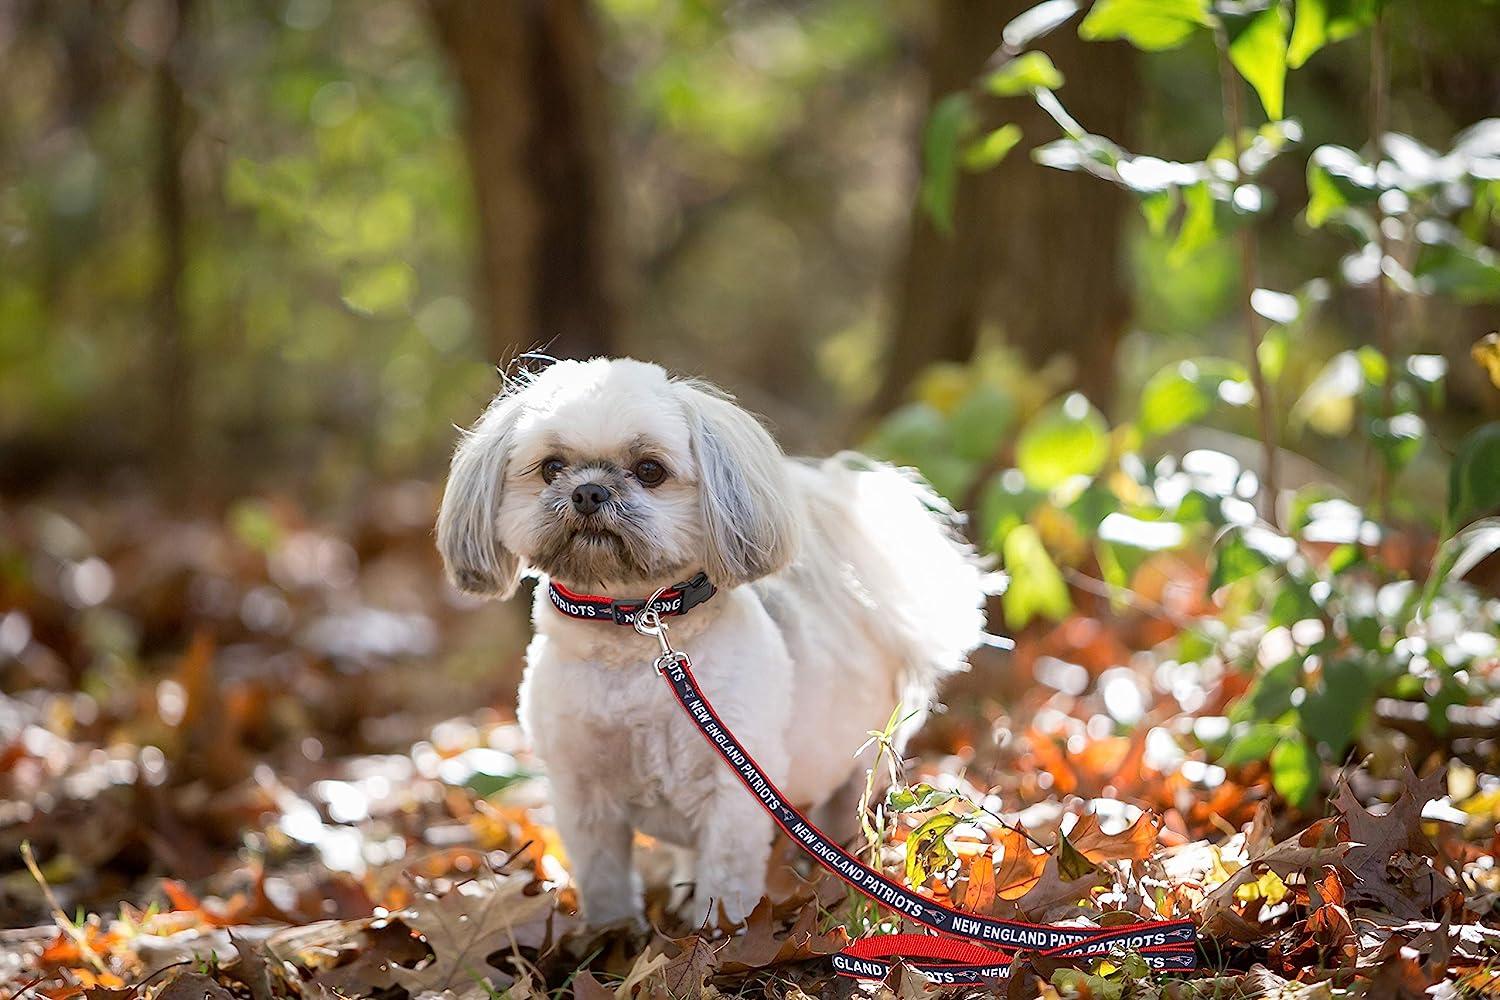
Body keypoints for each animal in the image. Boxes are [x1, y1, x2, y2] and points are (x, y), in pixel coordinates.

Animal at [435, 355, 984, 929]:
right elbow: (604, 879)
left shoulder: (736, 791)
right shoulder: (582, 794)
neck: (636, 630)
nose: (587, 492)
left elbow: (726, 879)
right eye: (551, 467)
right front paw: (612, 935)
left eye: (650, 470)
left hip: (859, 763)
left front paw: (719, 935)